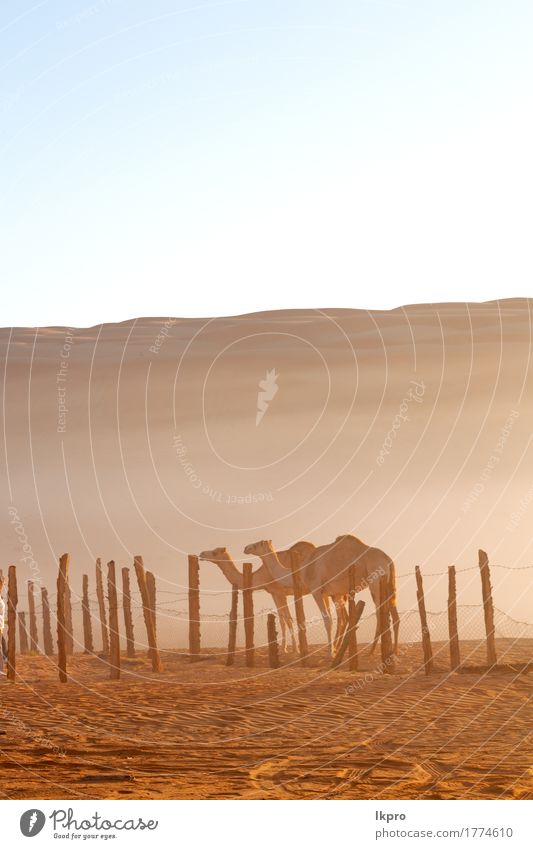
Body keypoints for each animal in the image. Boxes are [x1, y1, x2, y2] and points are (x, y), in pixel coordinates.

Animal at [247, 536, 396, 656]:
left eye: (257, 544)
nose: (246, 548)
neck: (304, 569)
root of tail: (388, 559)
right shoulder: (327, 593)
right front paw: (334, 650)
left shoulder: (316, 590)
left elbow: (327, 620)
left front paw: (330, 653)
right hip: (386, 584)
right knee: (391, 613)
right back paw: (390, 650)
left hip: (375, 582)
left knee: (380, 613)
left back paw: (373, 650)